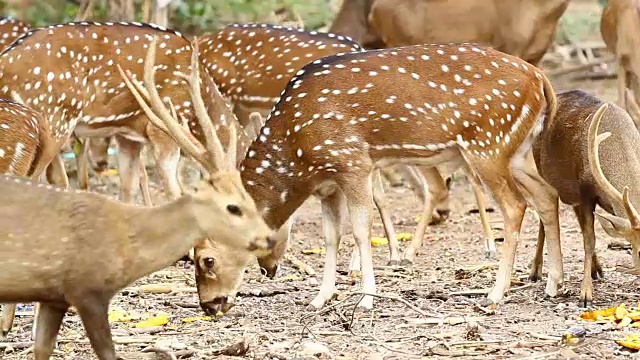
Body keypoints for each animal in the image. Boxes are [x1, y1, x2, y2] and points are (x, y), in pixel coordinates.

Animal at [528, 90, 640, 306]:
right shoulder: (586, 191)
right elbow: (589, 239)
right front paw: (585, 295)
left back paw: (598, 269)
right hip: (543, 174)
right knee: (544, 218)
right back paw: (535, 271)